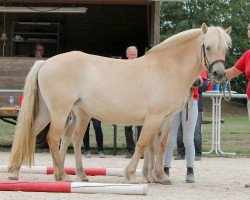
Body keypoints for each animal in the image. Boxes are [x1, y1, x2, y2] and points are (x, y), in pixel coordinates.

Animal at [7, 23, 230, 183]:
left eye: (225, 48)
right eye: (207, 47)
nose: (219, 74)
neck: (167, 68)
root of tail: (46, 62)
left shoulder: (165, 119)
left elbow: (159, 145)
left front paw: (158, 176)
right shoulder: (154, 117)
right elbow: (142, 144)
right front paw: (131, 174)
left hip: (49, 112)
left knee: (34, 132)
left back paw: (18, 172)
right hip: (60, 112)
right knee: (54, 138)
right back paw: (62, 175)